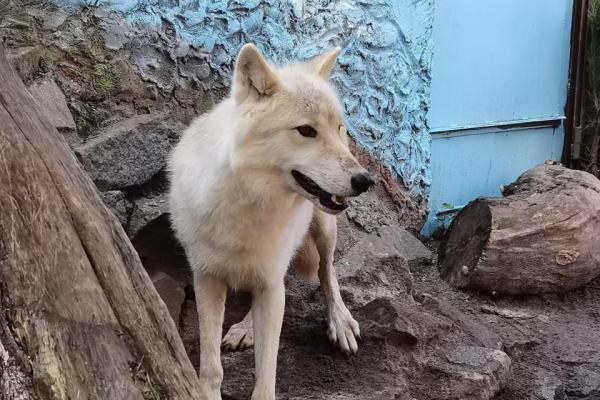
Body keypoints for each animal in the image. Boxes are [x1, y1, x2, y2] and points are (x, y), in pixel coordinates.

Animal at [169, 44, 372, 400]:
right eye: (306, 130)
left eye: (338, 127)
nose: (365, 180)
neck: (251, 203)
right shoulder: (207, 278)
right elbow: (211, 364)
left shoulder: (271, 280)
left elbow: (266, 373)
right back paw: (246, 328)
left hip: (323, 229)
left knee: (327, 270)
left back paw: (340, 321)